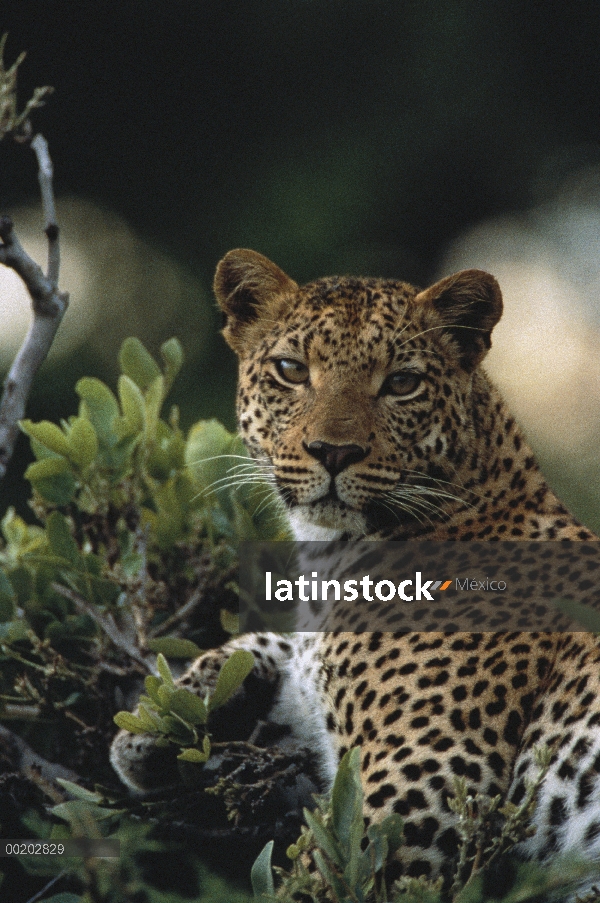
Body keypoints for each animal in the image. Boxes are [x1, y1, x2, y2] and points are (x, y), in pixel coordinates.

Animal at [110, 251, 600, 892]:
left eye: (402, 383)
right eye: (291, 370)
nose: (333, 451)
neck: (332, 552)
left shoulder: (429, 776)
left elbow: (327, 874)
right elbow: (275, 646)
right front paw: (153, 720)